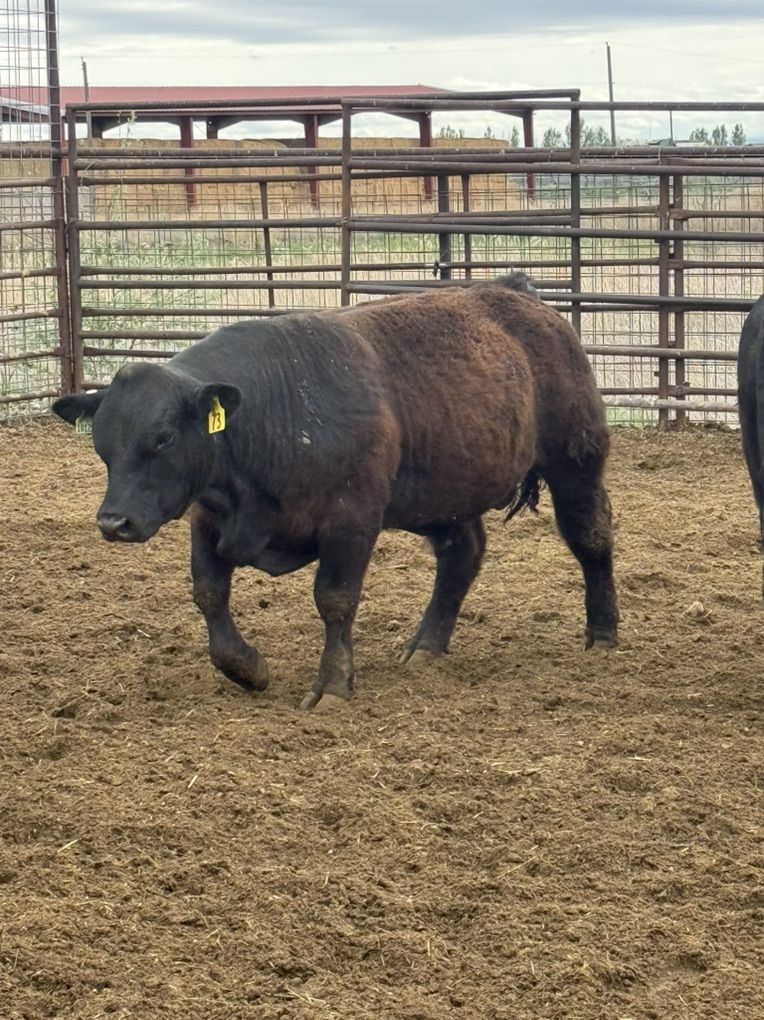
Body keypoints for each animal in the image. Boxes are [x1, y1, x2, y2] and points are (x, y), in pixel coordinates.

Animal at [52, 276, 619, 710]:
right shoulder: (209, 518)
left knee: (591, 538)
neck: (273, 410)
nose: (114, 522)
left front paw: (332, 685)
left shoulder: (351, 521)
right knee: (462, 555)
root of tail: (516, 293)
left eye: (164, 437)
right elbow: (209, 593)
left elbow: (335, 600)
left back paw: (604, 633)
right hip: (446, 494)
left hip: (576, 459)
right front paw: (248, 668)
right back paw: (426, 646)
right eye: (102, 441)